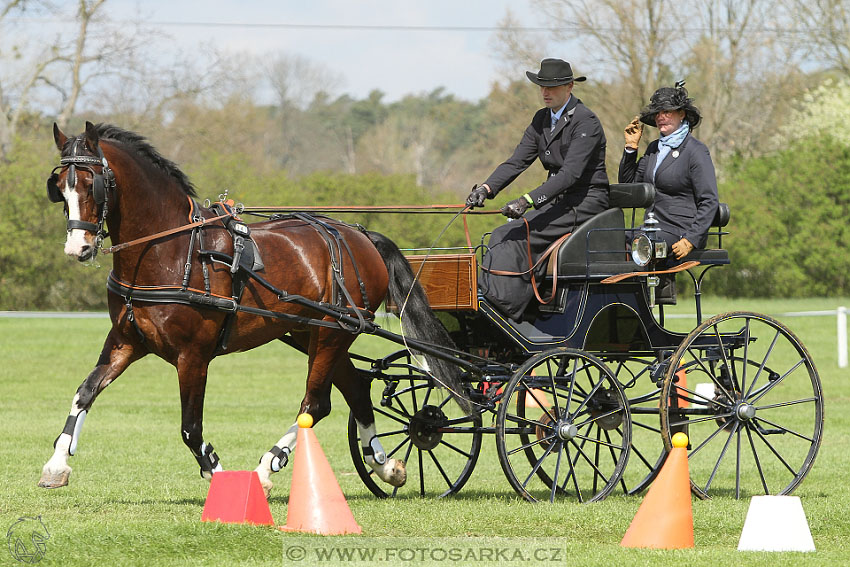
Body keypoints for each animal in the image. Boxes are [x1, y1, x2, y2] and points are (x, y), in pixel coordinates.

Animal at [38, 121, 464, 496]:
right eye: (59, 187)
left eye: (92, 183)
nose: (78, 248)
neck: (172, 250)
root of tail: (360, 235)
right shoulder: (126, 341)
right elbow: (84, 392)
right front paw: (57, 465)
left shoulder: (193, 356)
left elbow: (190, 428)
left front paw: (220, 477)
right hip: (315, 333)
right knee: (355, 390)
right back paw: (385, 465)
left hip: (332, 334)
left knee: (314, 404)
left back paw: (267, 467)